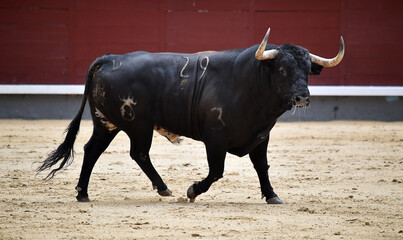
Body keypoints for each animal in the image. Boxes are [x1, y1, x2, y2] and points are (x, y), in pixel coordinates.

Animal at [38, 28, 346, 204]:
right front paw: (193, 191)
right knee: (138, 153)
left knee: (93, 149)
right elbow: (217, 171)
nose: (302, 97)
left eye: (307, 70)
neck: (251, 83)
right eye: (282, 69)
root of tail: (110, 57)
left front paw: (272, 196)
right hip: (138, 125)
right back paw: (164, 188)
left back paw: (83, 193)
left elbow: (262, 167)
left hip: (106, 122)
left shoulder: (261, 136)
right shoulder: (215, 139)